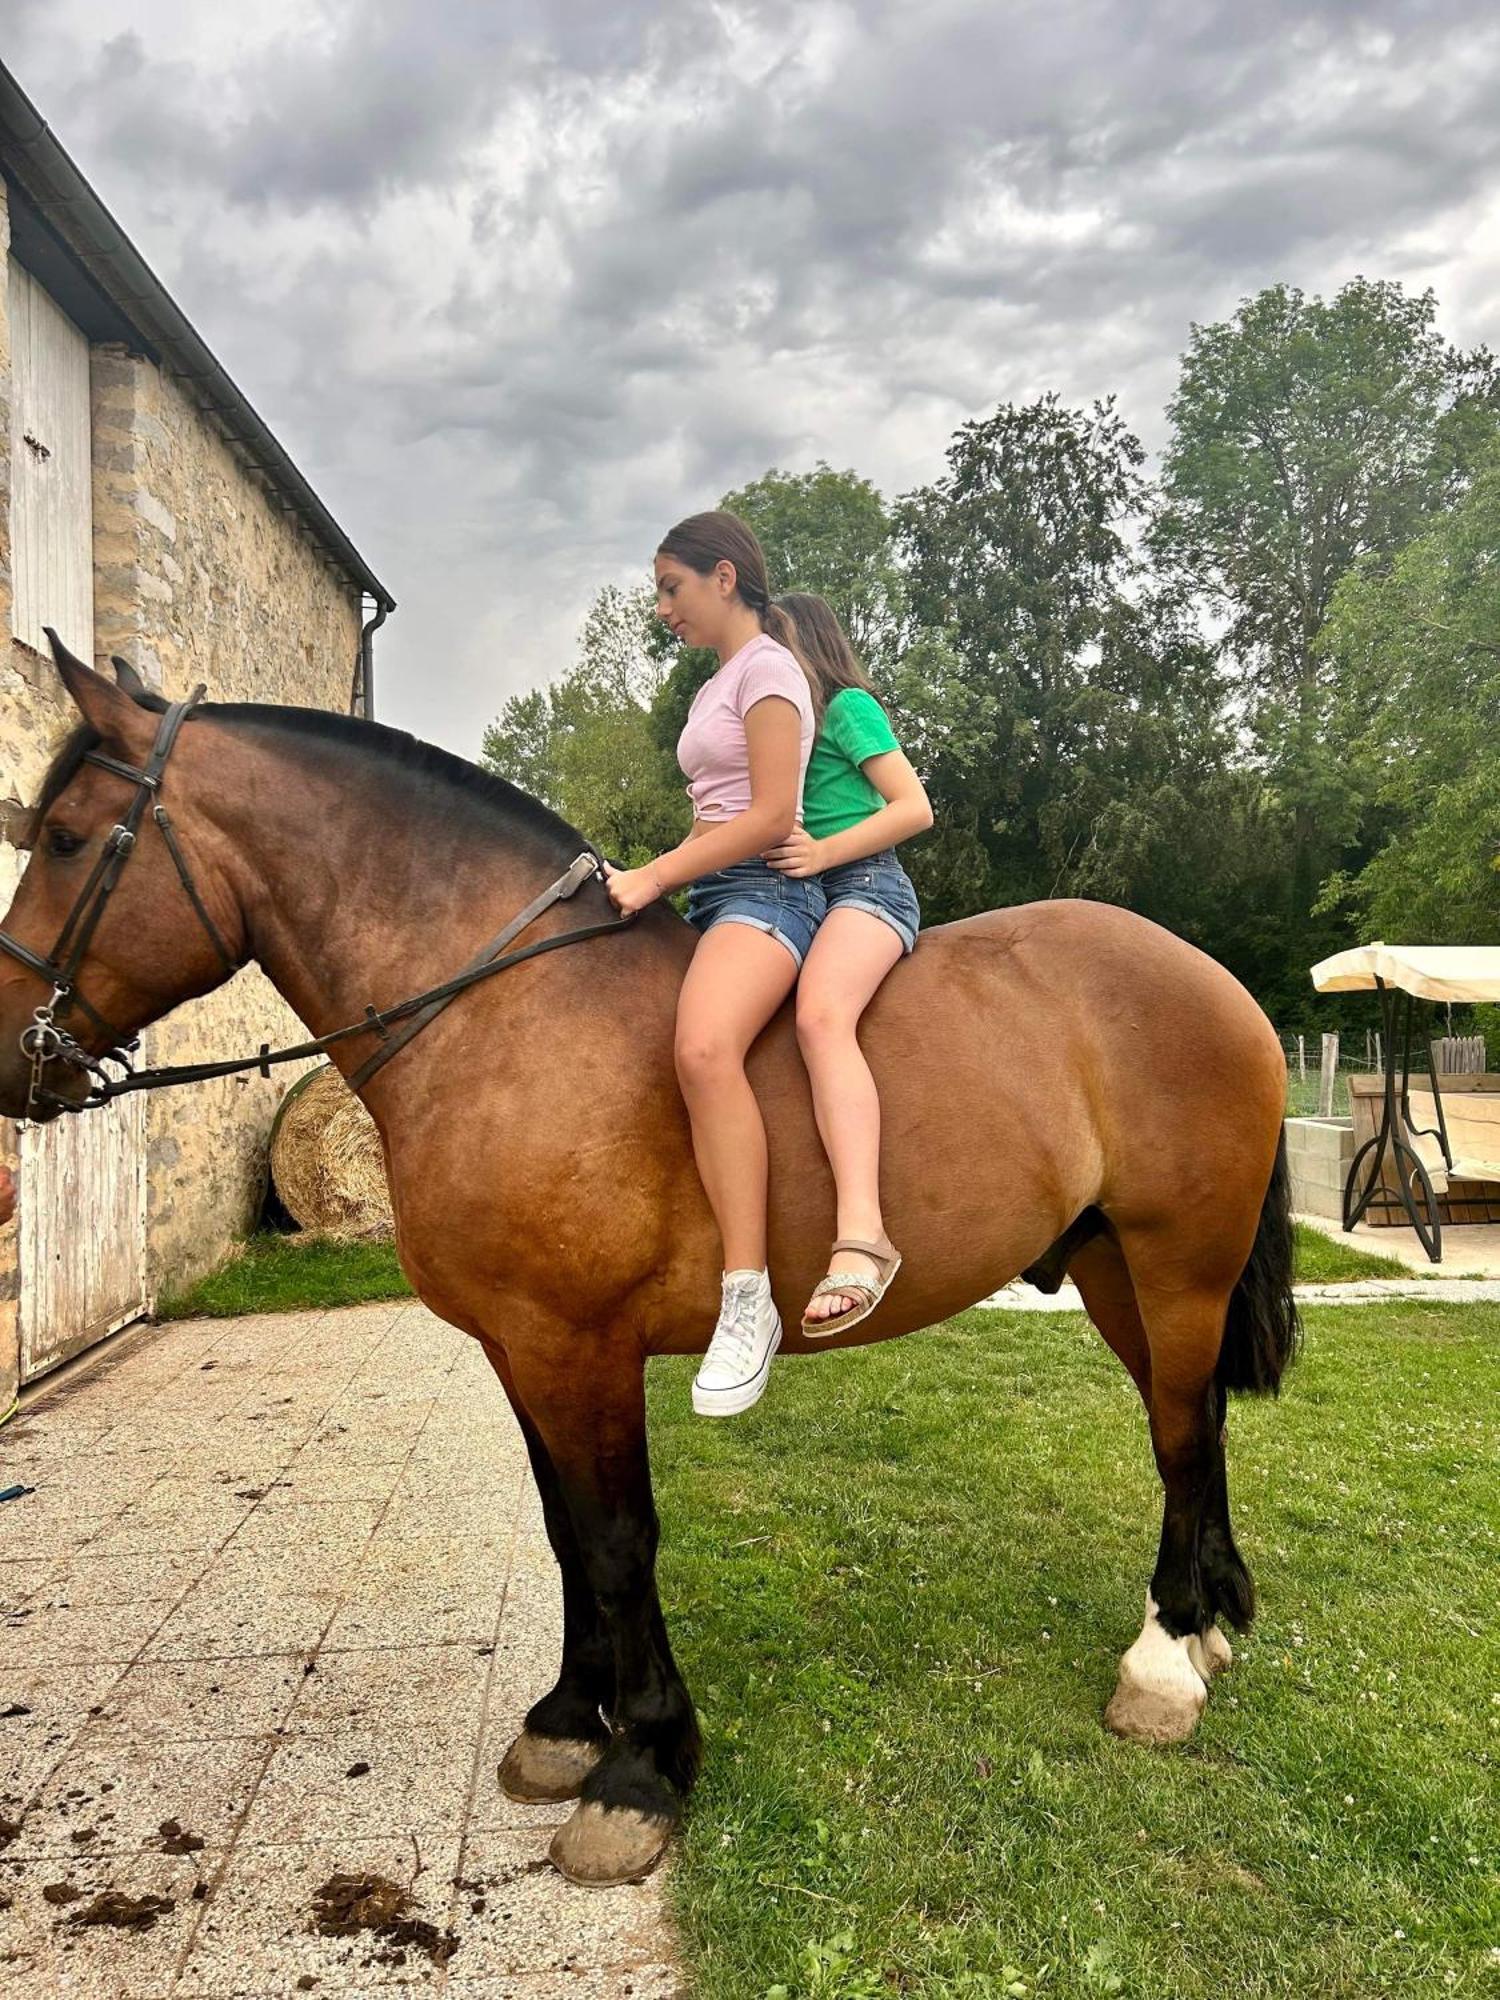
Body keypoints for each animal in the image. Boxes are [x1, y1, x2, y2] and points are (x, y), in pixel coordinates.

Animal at [0, 644, 1296, 1888]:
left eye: (64, 838)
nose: (14, 1053)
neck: (505, 1011)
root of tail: (1210, 975)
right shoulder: (519, 1346)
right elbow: (565, 1528)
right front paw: (570, 1721)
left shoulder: (581, 1345)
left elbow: (620, 1537)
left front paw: (641, 1766)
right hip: (1117, 1270)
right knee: (1197, 1423)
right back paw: (1209, 1619)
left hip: (1178, 1265)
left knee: (1182, 1435)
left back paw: (1163, 1661)